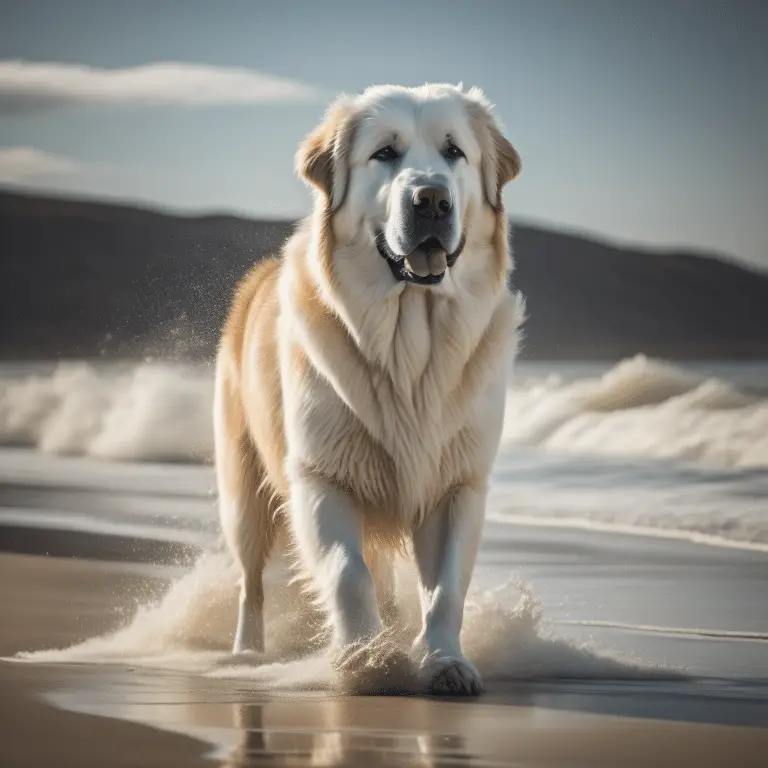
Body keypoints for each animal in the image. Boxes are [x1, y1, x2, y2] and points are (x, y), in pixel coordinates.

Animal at [216, 84, 528, 696]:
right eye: (385, 153)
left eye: (454, 152)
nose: (431, 200)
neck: (408, 347)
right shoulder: (322, 477)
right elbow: (347, 574)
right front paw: (367, 662)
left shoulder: (458, 484)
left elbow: (445, 589)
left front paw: (443, 661)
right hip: (243, 491)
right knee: (250, 581)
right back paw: (247, 654)